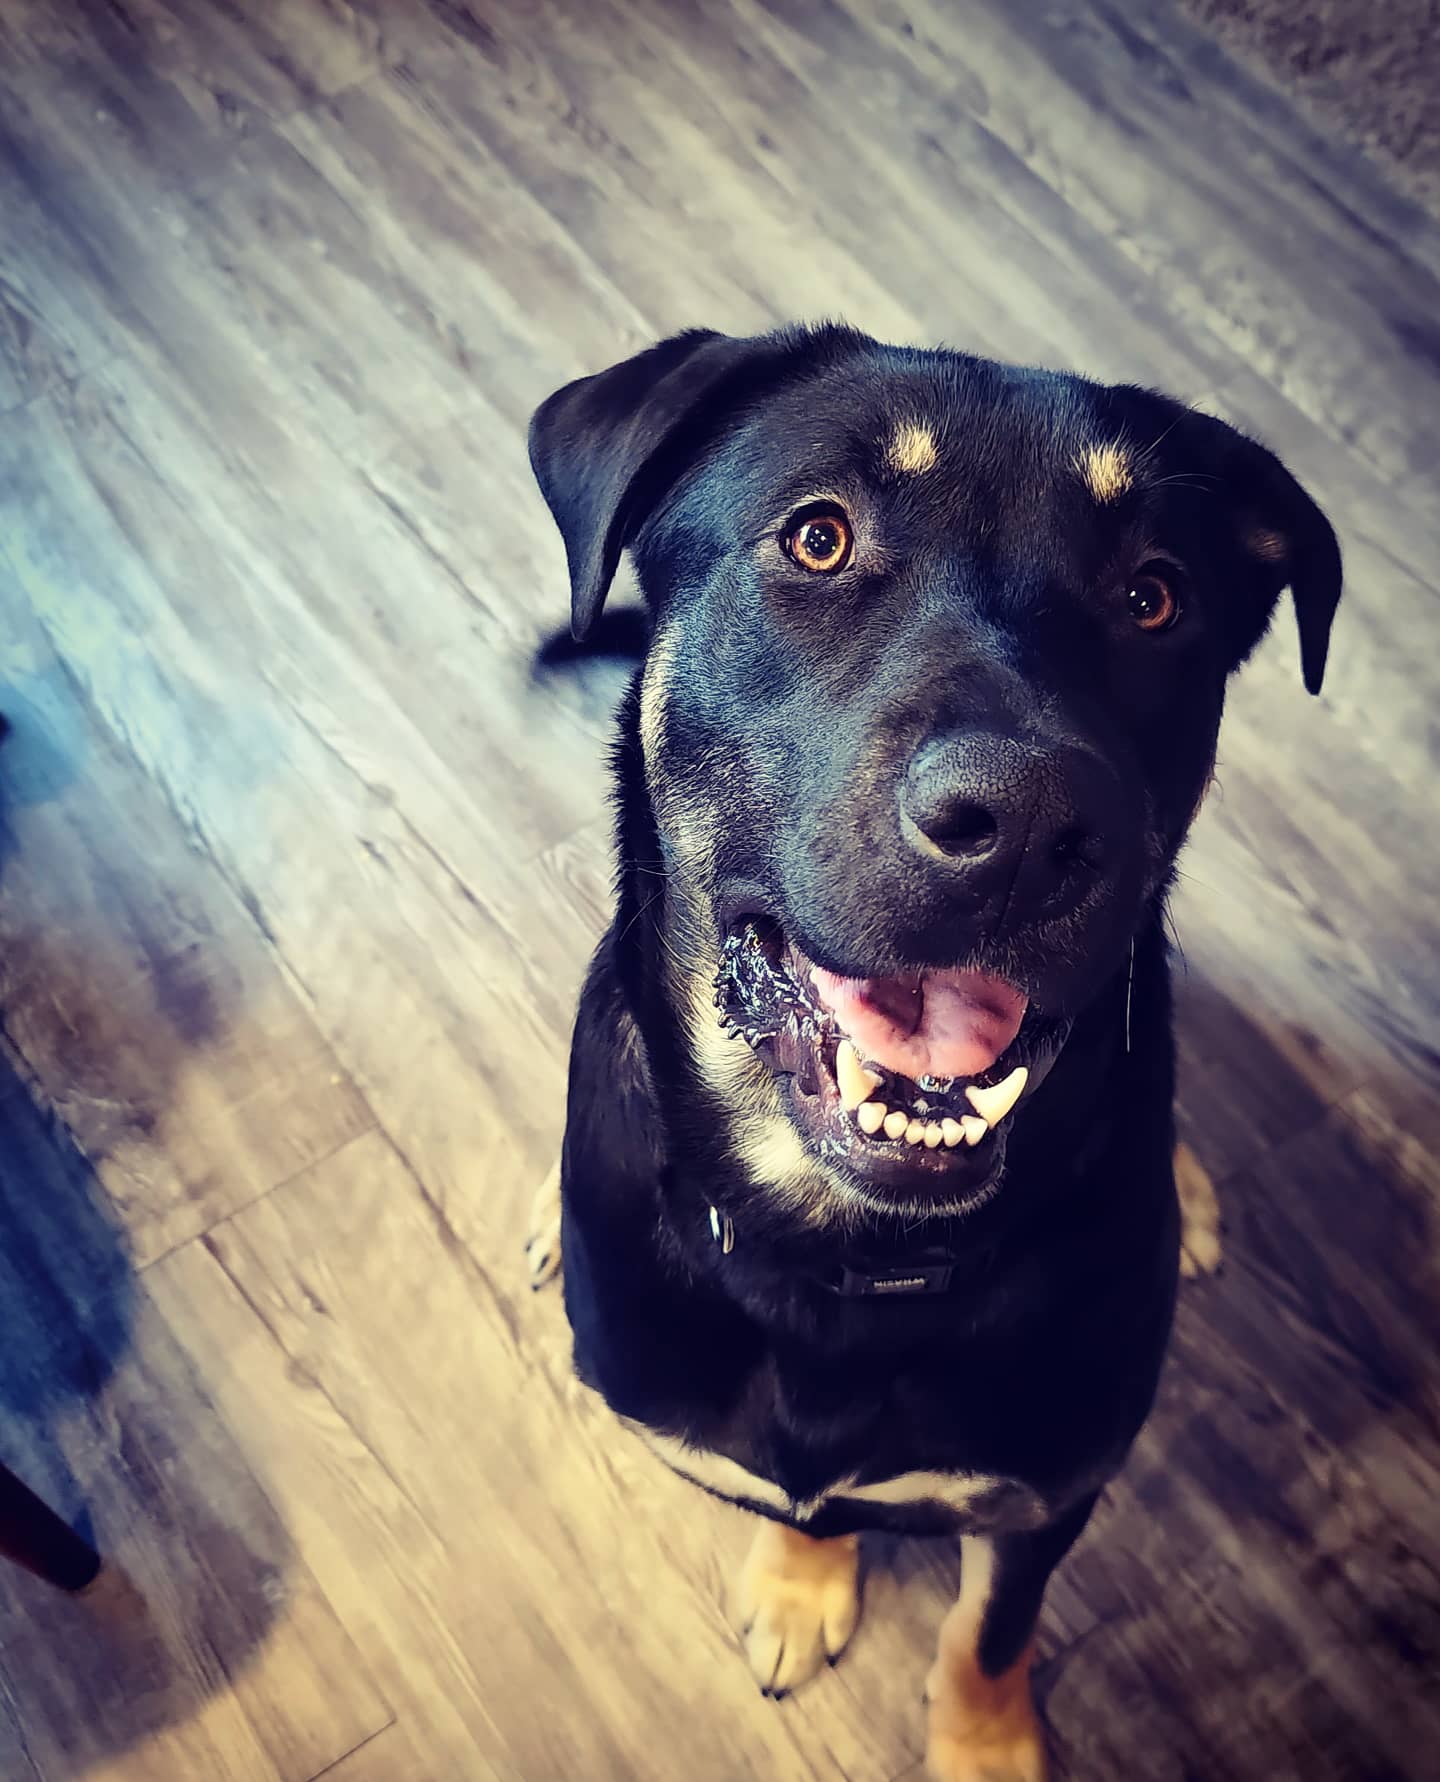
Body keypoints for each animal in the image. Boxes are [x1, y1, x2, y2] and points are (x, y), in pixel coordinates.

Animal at [523, 327, 1347, 1774]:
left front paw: (984, 1745)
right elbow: (801, 1505)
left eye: (1154, 596)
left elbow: (990, 1632)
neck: (843, 1259)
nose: (1025, 824)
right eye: (818, 537)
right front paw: (804, 1581)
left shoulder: (1047, 1488)